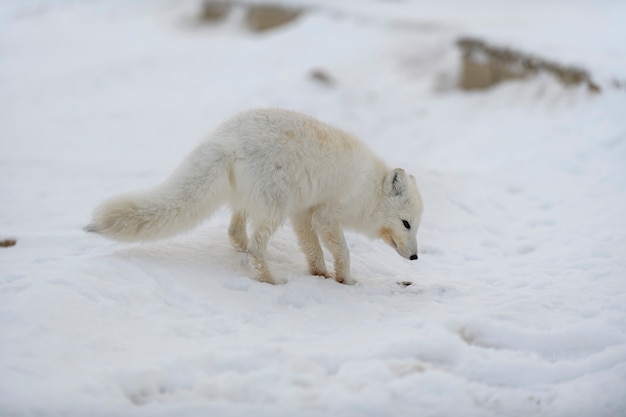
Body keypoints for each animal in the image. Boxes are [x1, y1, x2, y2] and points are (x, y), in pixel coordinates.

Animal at [85, 107, 422, 284]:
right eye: (406, 224)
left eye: (416, 226)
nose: (416, 257)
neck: (369, 190)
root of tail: (225, 140)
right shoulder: (326, 215)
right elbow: (343, 251)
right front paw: (345, 280)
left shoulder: (303, 213)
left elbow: (312, 250)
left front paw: (320, 275)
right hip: (275, 207)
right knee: (258, 248)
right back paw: (270, 280)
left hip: (256, 202)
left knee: (235, 232)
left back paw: (243, 252)